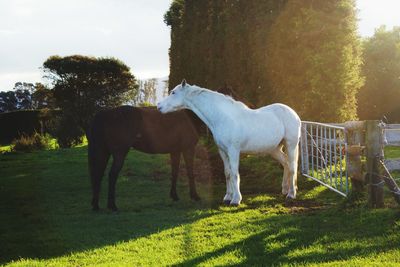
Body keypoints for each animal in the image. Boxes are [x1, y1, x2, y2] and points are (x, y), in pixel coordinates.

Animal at [156, 80, 300, 206]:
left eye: (173, 92)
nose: (158, 106)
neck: (223, 117)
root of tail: (293, 113)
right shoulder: (223, 151)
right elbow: (228, 173)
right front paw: (227, 197)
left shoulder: (233, 151)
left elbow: (235, 173)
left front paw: (236, 200)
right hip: (274, 149)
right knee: (286, 163)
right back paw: (285, 189)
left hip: (291, 145)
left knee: (292, 166)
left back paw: (291, 194)